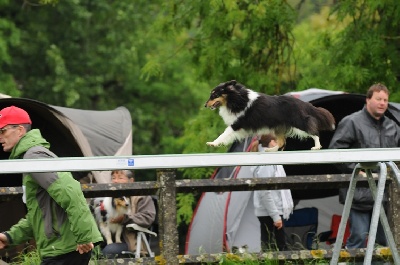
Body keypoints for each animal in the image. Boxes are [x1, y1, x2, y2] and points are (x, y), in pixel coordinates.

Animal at [205, 80, 336, 151]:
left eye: (214, 95)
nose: (205, 105)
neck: (237, 99)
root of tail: (303, 103)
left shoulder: (236, 124)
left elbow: (223, 134)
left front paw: (212, 143)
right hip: (277, 128)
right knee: (282, 142)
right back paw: (270, 149)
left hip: (299, 123)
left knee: (314, 133)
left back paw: (317, 146)